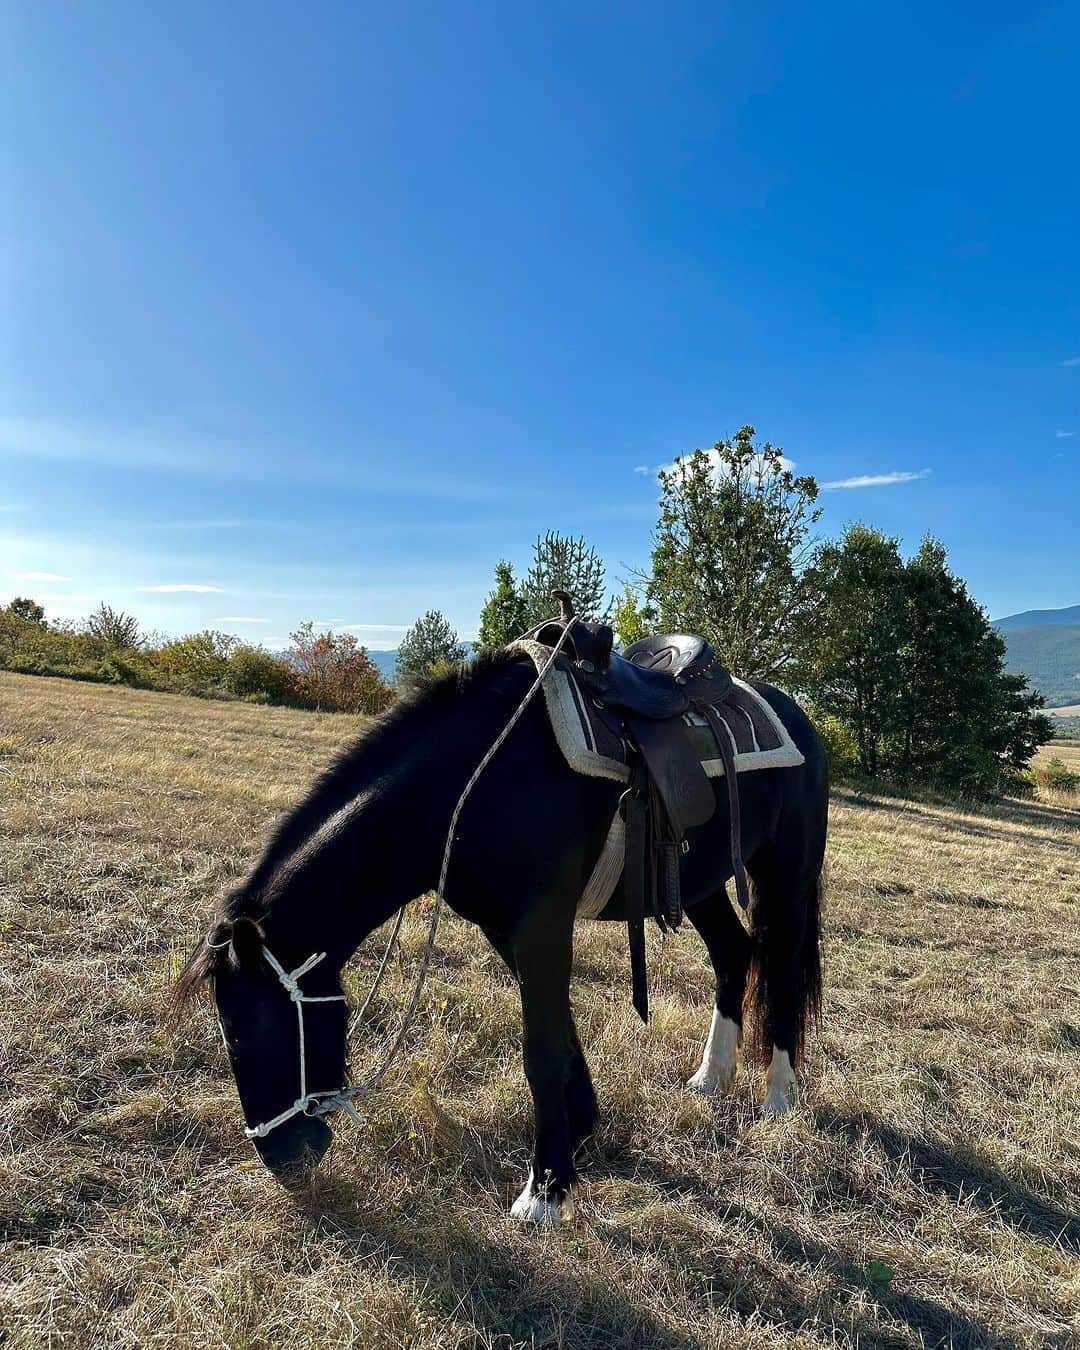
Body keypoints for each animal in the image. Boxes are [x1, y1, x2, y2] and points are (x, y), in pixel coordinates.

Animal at [175, 648, 826, 1231]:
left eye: (245, 1028)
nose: (283, 1160)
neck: (476, 784)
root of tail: (795, 715)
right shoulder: (506, 929)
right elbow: (558, 1035)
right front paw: (578, 1135)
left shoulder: (542, 926)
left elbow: (540, 1051)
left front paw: (544, 1192)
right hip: (697, 882)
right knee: (733, 954)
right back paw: (711, 1077)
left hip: (785, 875)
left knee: (781, 969)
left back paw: (778, 1097)